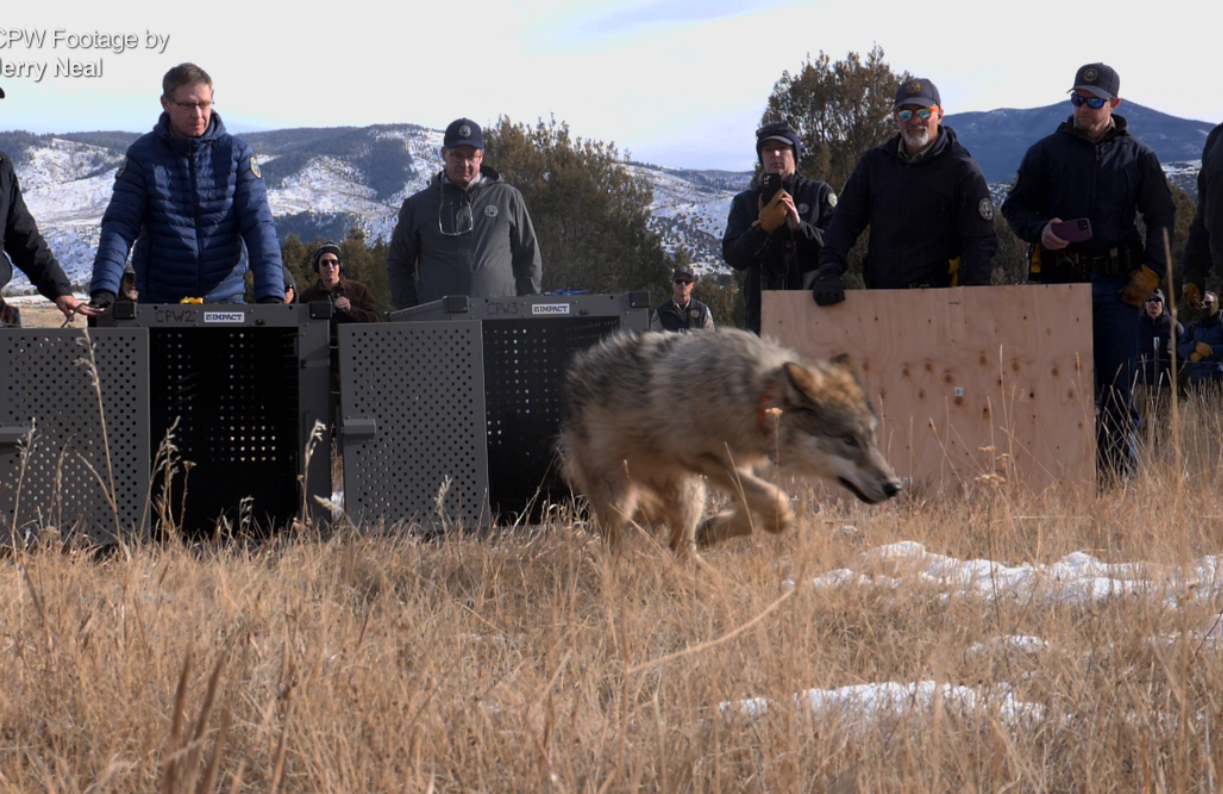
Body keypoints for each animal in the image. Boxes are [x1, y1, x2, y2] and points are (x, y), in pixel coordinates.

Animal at [560, 327, 905, 557]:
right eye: (848, 439)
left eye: (871, 438)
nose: (894, 487)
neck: (755, 396)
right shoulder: (704, 459)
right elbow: (776, 499)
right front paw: (777, 521)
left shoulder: (737, 466)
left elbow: (753, 511)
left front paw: (714, 530)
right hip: (621, 500)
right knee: (618, 544)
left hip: (690, 494)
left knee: (681, 547)